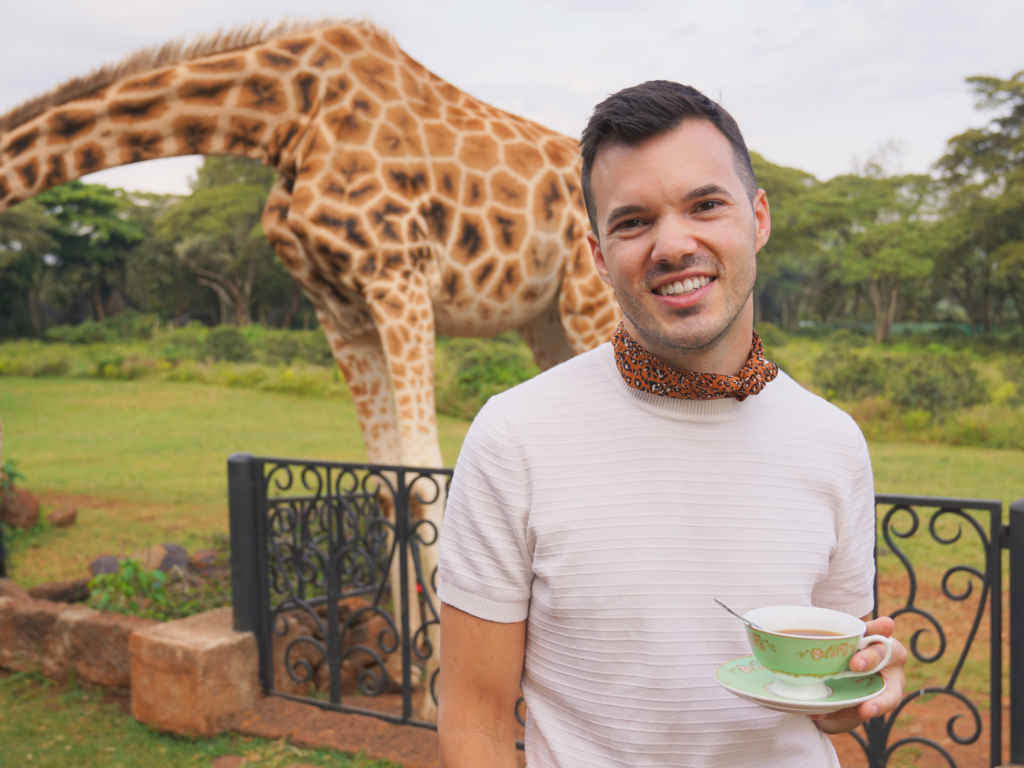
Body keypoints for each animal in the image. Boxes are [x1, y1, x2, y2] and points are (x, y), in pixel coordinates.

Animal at [0, 16, 614, 716]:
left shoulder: (397, 277)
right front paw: (402, 671)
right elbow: (387, 483)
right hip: (545, 317)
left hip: (590, 298)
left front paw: (436, 694)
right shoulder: (339, 309)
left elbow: (424, 475)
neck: (285, 116)